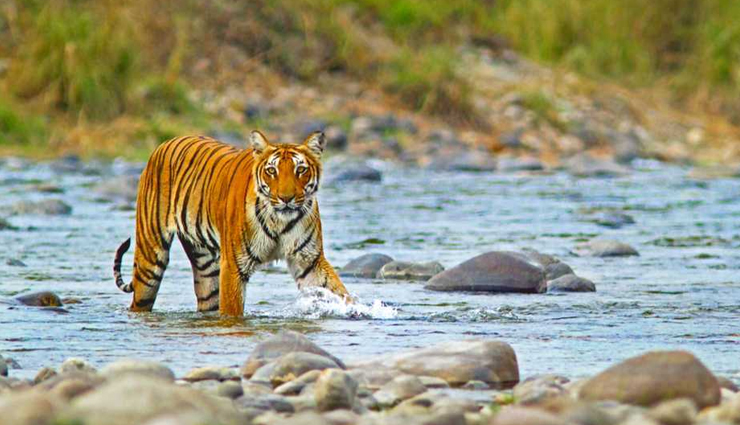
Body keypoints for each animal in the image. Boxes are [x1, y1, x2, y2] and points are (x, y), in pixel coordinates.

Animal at [112, 130, 351, 316]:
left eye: (300, 170)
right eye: (271, 171)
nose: (286, 198)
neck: (279, 221)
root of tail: (164, 143)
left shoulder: (309, 260)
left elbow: (338, 291)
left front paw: (355, 310)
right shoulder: (234, 266)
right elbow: (232, 311)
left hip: (206, 268)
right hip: (150, 259)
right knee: (140, 299)